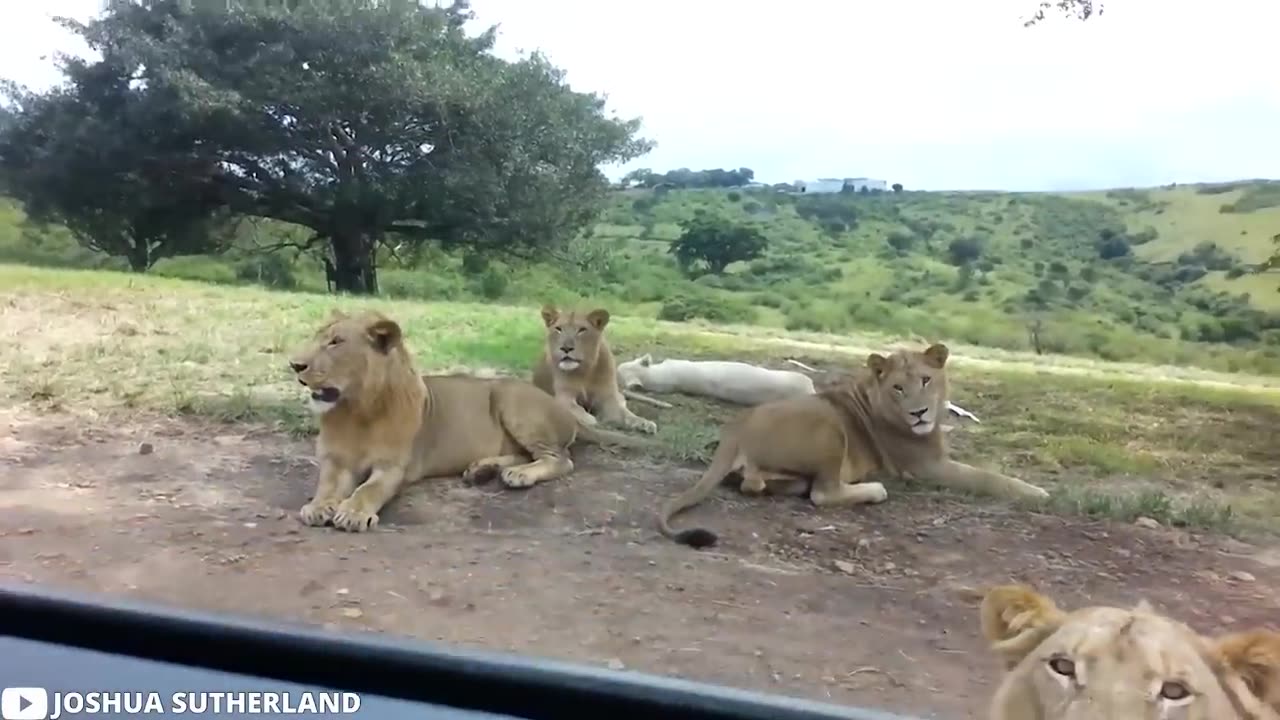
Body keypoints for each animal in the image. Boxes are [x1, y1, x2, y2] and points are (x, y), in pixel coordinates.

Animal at [527, 302, 655, 430]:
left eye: (582, 330)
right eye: (558, 329)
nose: (566, 348)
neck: (585, 371)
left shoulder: (607, 397)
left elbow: (621, 413)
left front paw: (639, 422)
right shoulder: (564, 396)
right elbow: (576, 409)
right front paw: (589, 419)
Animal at [660, 340, 1049, 543]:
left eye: (926, 380)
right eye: (898, 387)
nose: (919, 413)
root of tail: (735, 428)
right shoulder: (925, 466)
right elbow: (988, 477)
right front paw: (1039, 493)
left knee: (756, 483)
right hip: (831, 428)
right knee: (823, 493)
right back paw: (873, 490)